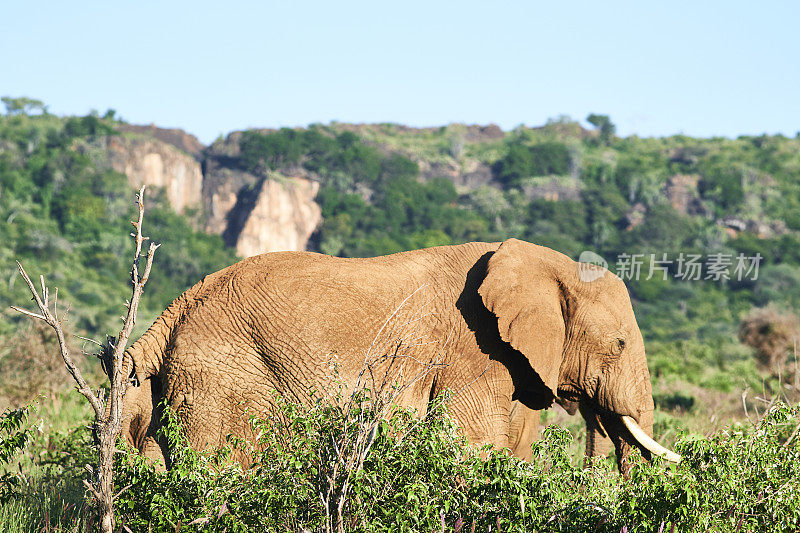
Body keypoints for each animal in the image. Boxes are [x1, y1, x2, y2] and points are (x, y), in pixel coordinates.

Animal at [122, 239, 680, 472]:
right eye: (620, 344)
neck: (546, 263)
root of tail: (172, 311)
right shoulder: (474, 352)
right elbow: (472, 446)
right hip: (223, 380)